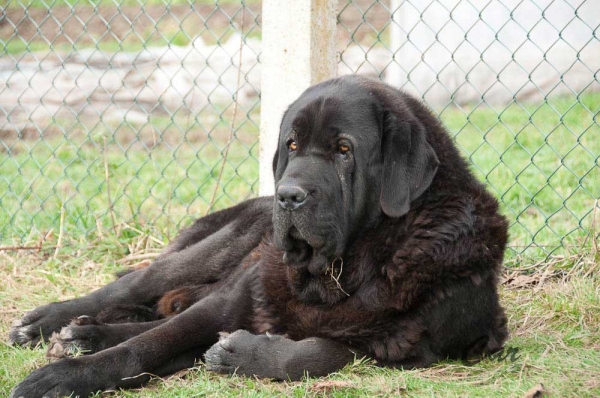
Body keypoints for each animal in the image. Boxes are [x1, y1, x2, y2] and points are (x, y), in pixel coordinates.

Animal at [8, 75, 506, 398]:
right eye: (292, 145)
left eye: (344, 150)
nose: (288, 196)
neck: (337, 273)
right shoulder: (233, 300)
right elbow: (148, 344)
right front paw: (67, 376)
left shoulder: (404, 343)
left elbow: (318, 353)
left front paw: (239, 354)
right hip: (215, 249)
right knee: (134, 286)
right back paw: (49, 323)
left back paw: (84, 334)